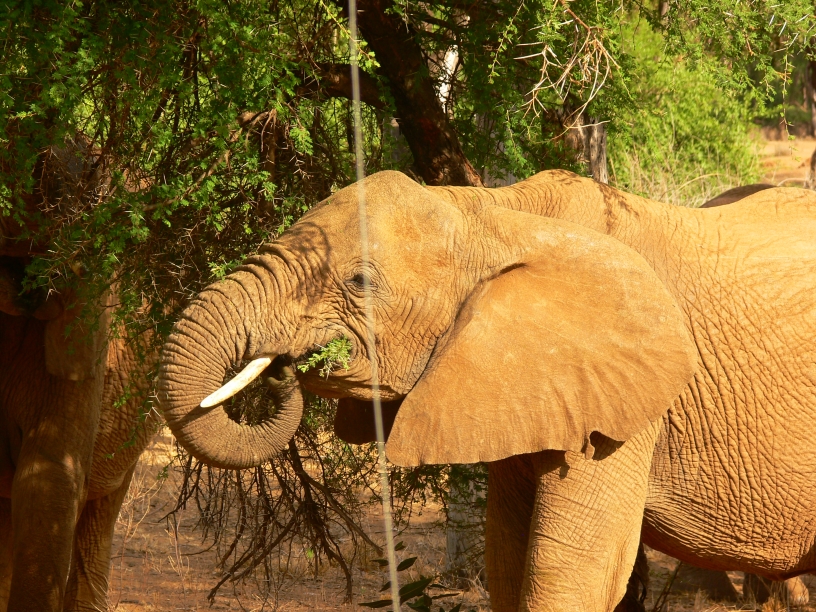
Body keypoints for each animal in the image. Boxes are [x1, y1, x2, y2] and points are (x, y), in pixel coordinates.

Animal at [158, 169, 816, 612]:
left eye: (360, 281)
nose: (282, 369)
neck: (496, 215)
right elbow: (507, 557)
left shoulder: (625, 404)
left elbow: (572, 572)